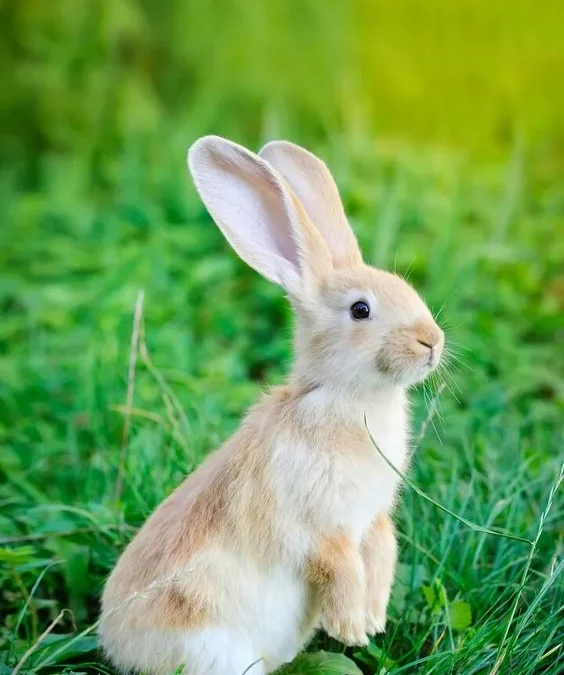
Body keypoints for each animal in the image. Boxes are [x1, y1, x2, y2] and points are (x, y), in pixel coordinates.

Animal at [100, 136, 446, 675]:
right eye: (360, 310)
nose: (432, 341)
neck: (344, 395)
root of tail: (117, 643)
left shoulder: (373, 518)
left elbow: (382, 552)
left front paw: (374, 621)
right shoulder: (319, 525)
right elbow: (340, 566)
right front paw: (352, 627)